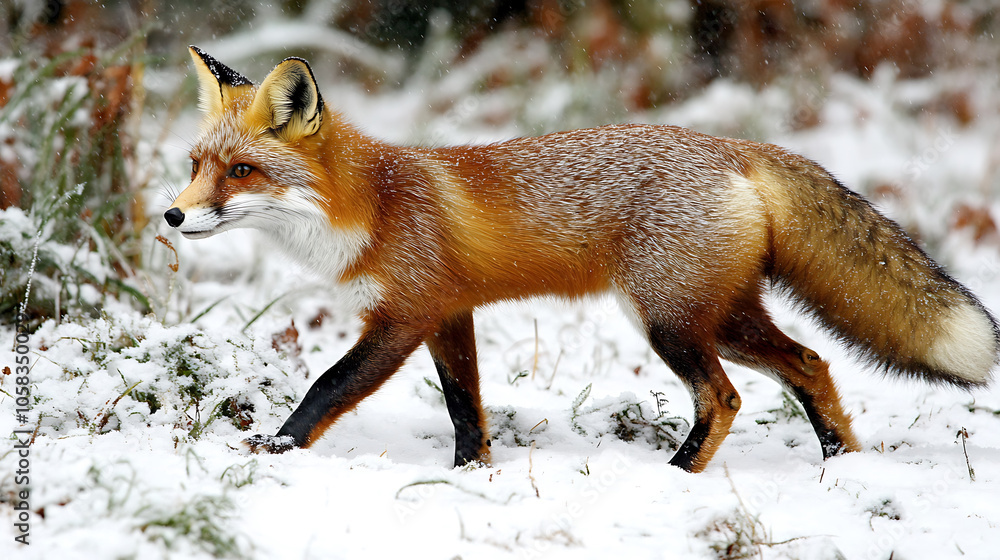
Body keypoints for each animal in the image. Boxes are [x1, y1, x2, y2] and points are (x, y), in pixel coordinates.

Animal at [165, 47, 999, 473]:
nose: (172, 215)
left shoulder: (403, 315)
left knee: (726, 396)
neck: (372, 208)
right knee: (812, 363)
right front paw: (471, 475)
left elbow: (327, 386)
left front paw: (274, 451)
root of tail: (733, 145)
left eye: (241, 172)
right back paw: (840, 465)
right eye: (196, 165)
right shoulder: (449, 314)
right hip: (719, 315)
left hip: (671, 321)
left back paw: (679, 477)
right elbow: (466, 409)